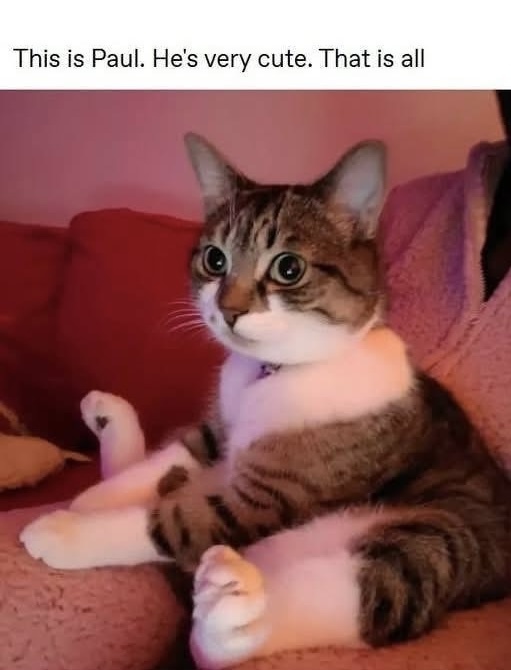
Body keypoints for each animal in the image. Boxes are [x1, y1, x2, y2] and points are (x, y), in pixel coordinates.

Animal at [21, 134, 511, 670]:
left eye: (287, 268)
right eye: (214, 260)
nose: (229, 310)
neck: (273, 374)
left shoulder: (267, 497)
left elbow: (171, 521)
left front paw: (64, 532)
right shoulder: (213, 435)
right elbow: (156, 466)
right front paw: (88, 501)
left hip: (440, 537)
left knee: (356, 593)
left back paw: (229, 608)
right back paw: (110, 420)